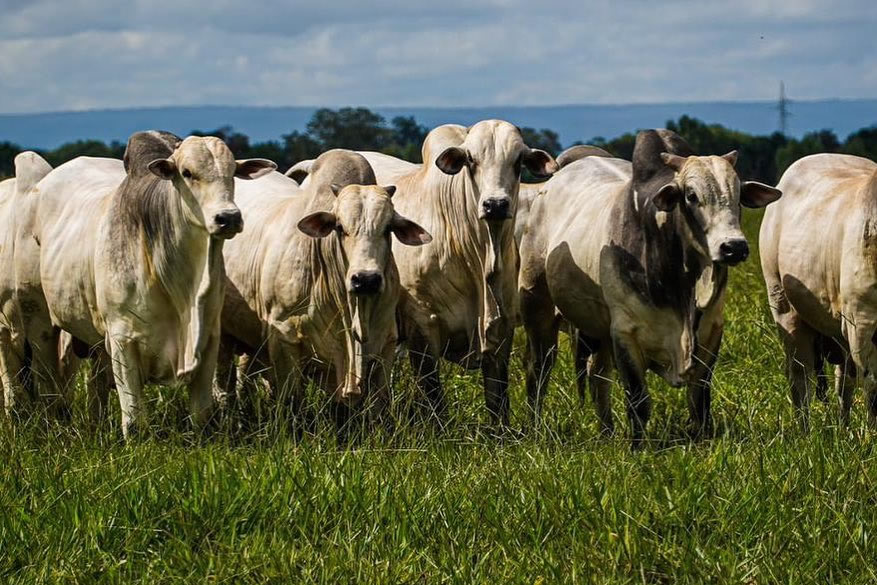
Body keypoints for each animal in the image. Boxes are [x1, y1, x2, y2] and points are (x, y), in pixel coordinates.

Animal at [26, 130, 274, 436]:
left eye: (232, 172)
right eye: (187, 172)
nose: (228, 217)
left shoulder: (208, 338)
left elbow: (202, 414)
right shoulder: (122, 340)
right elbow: (134, 420)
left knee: (95, 385)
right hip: (41, 320)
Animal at [219, 149, 432, 434]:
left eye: (388, 228)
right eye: (340, 228)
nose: (366, 279)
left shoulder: (384, 345)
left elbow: (376, 406)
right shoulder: (283, 338)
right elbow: (291, 402)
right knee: (224, 383)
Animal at [352, 120, 556, 424]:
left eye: (518, 161)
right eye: (471, 160)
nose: (495, 204)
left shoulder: (502, 326)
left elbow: (498, 398)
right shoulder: (421, 325)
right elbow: (433, 396)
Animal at [516, 129, 776, 448]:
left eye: (739, 195)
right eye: (691, 195)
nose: (734, 247)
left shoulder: (712, 330)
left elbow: (699, 398)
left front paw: (703, 439)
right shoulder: (625, 333)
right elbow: (638, 401)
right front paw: (638, 447)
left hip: (599, 329)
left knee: (597, 375)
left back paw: (606, 432)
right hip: (538, 307)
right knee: (538, 369)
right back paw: (536, 426)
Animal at [764, 153, 877, 426]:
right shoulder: (863, 324)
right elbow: (873, 390)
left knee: (843, 382)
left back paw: (843, 428)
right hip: (784, 306)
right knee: (800, 377)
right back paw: (804, 429)